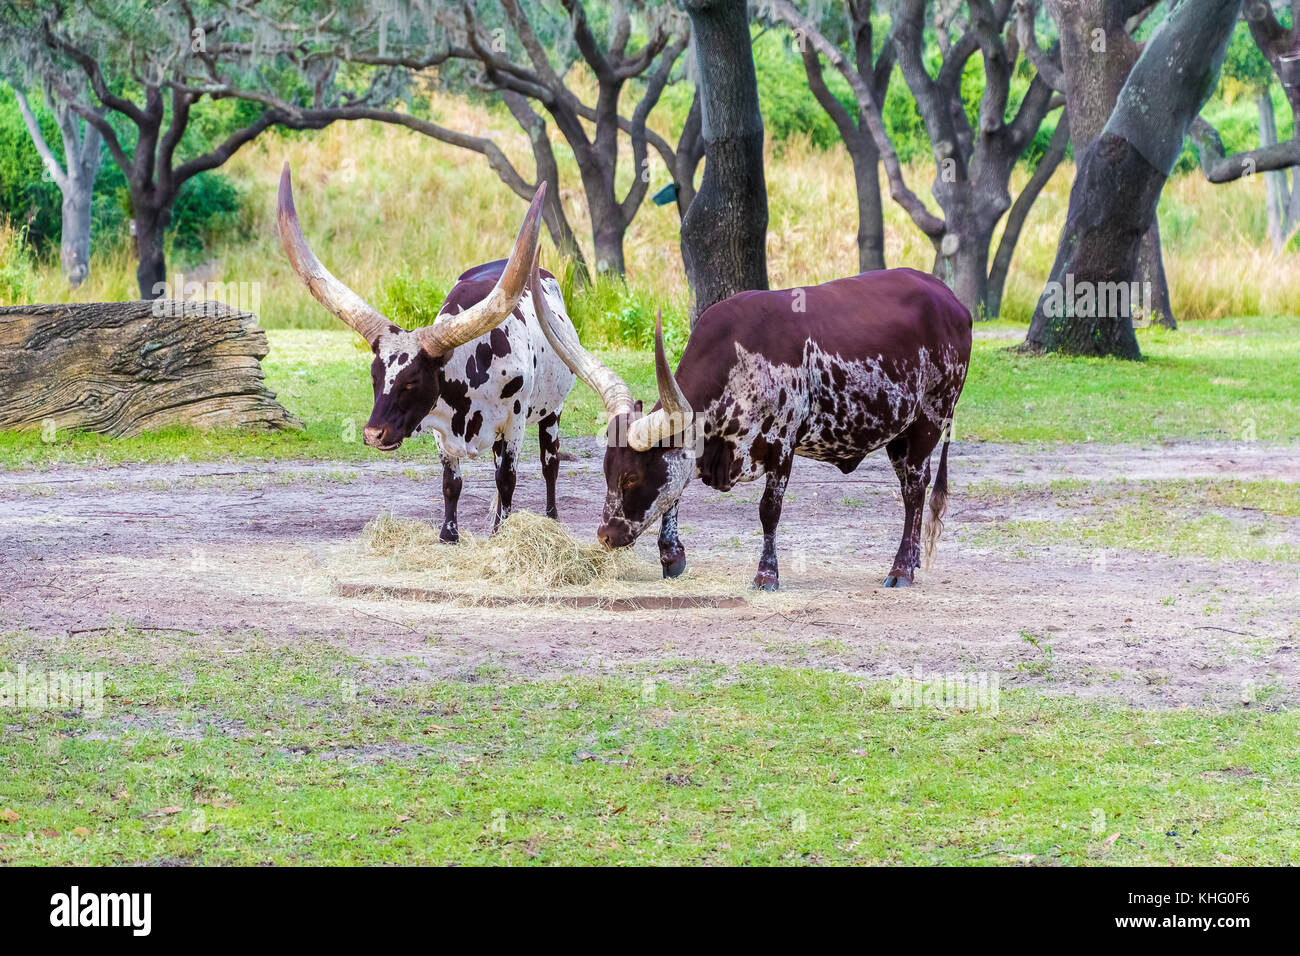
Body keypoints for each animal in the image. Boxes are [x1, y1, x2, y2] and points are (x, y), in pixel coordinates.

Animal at [533, 265, 972, 587]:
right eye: (607, 473)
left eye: (630, 477)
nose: (605, 536)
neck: (737, 360)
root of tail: (954, 302)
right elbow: (675, 491)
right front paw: (672, 556)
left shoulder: (782, 445)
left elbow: (768, 512)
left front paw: (767, 575)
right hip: (902, 433)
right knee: (915, 489)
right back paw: (910, 560)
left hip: (929, 420)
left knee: (914, 492)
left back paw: (901, 570)